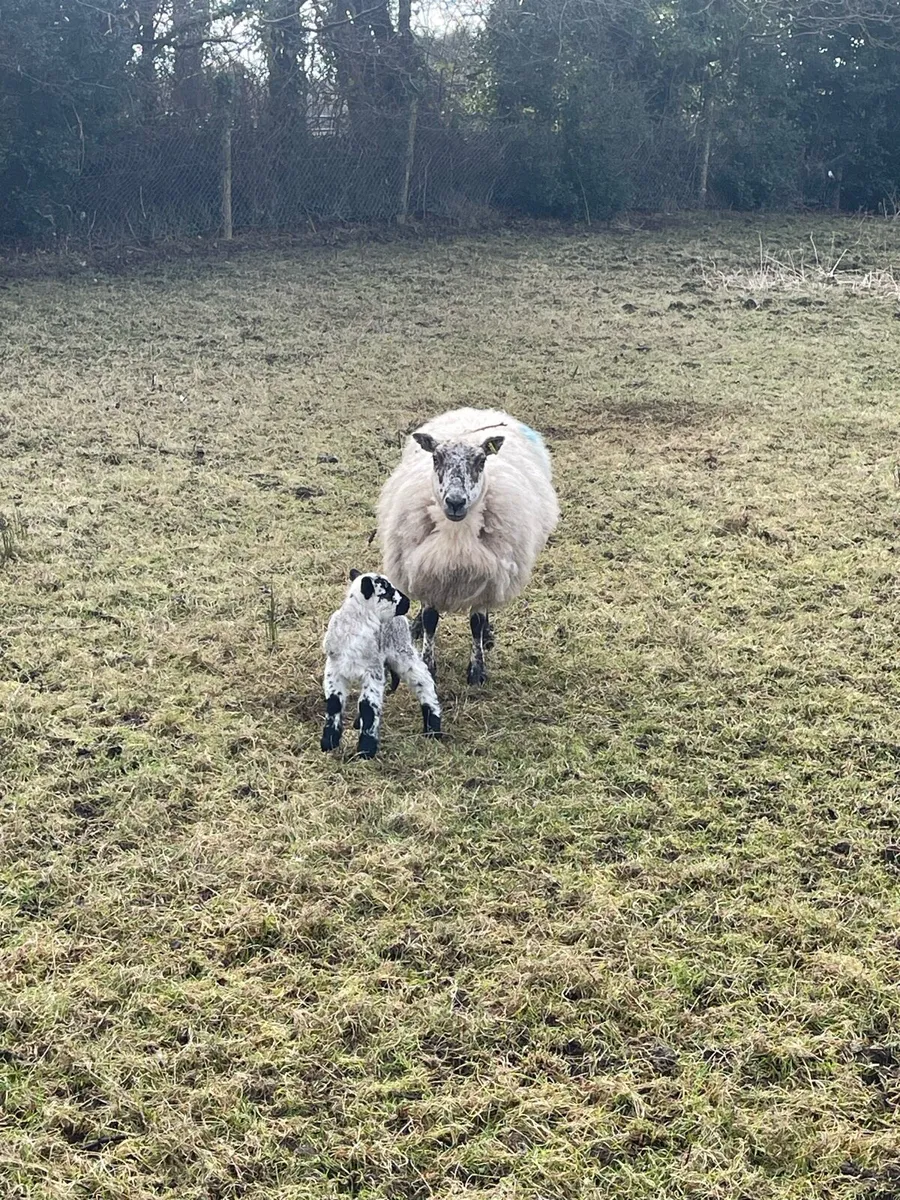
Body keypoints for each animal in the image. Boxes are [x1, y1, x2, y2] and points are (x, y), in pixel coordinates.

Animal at [321, 569, 442, 759]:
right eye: (388, 592)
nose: (407, 602)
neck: (356, 625)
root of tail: (401, 619)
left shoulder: (373, 671)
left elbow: (368, 706)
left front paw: (366, 750)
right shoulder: (335, 670)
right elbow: (334, 703)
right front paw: (329, 742)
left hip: (402, 651)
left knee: (424, 680)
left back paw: (433, 729)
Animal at [376, 407, 559, 685]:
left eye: (481, 461)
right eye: (436, 458)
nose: (455, 502)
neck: (456, 540)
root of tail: (478, 412)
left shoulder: (488, 576)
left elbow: (476, 623)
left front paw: (477, 670)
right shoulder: (427, 571)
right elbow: (430, 620)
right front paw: (428, 664)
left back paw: (488, 634)